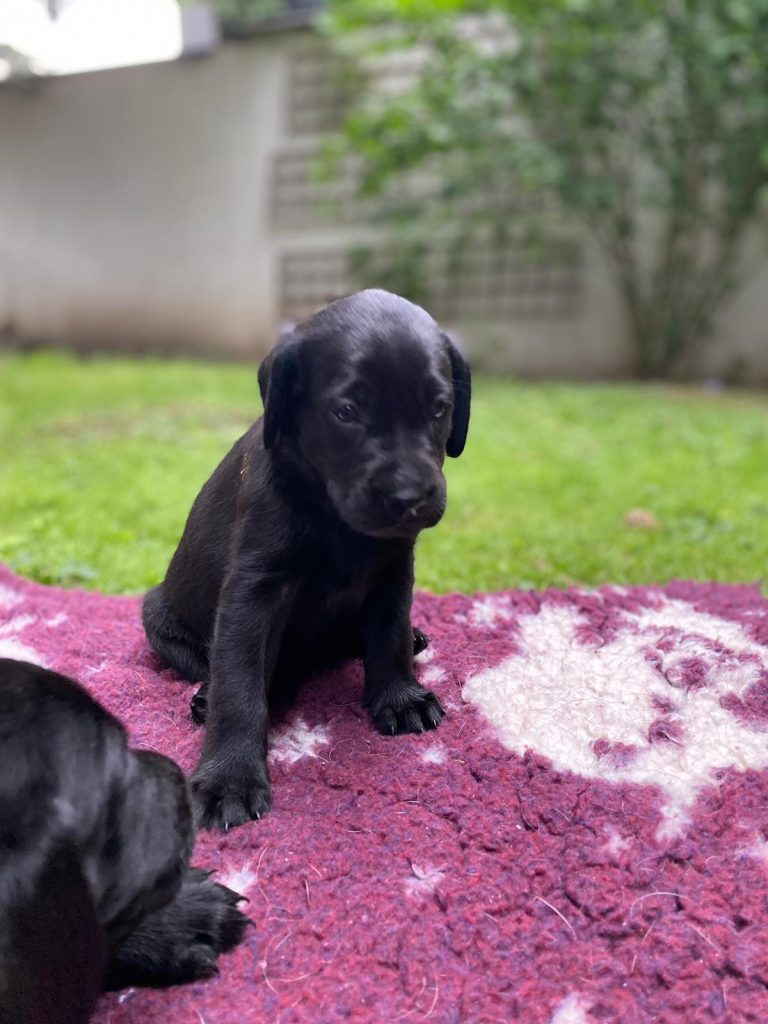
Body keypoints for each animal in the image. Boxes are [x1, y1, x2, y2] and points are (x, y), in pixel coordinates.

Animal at [142, 289, 471, 832]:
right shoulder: (254, 589)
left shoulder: (393, 572)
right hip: (159, 620)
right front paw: (229, 778)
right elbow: (239, 684)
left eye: (440, 407)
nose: (408, 499)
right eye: (346, 410)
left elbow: (389, 635)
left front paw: (399, 696)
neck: (332, 514)